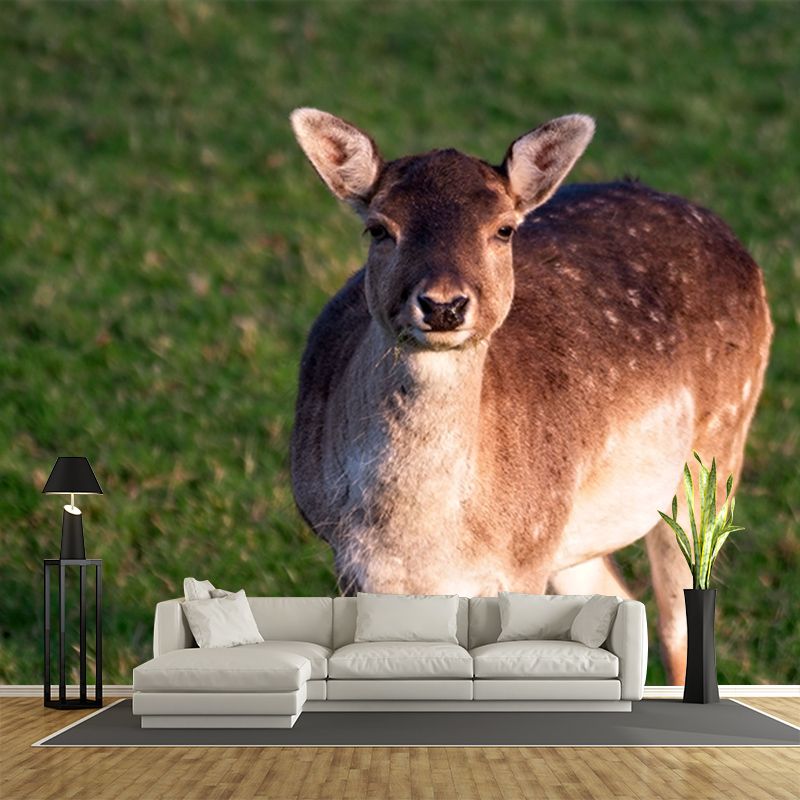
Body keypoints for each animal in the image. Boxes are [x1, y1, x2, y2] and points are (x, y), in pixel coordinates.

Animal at [288, 108, 772, 683]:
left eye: (504, 228)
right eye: (379, 228)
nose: (443, 304)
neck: (418, 542)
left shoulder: (523, 555)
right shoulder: (344, 555)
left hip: (716, 448)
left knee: (678, 626)